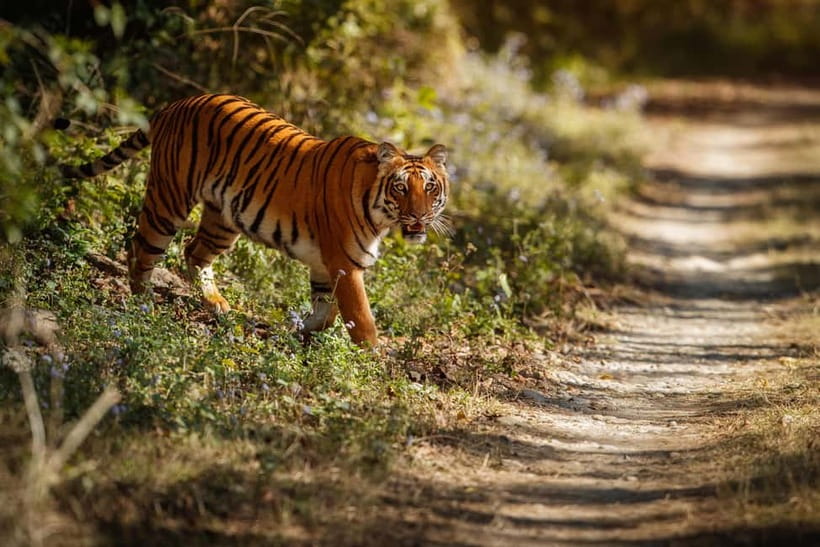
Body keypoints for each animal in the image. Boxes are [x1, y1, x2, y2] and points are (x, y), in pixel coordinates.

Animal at [60, 94, 450, 346]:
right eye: (401, 187)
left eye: (430, 187)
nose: (420, 215)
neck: (380, 214)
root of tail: (177, 104)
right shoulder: (345, 263)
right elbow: (362, 320)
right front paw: (371, 361)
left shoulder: (325, 265)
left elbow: (326, 312)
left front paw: (300, 333)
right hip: (169, 199)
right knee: (141, 250)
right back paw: (144, 307)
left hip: (223, 220)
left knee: (194, 252)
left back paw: (217, 305)